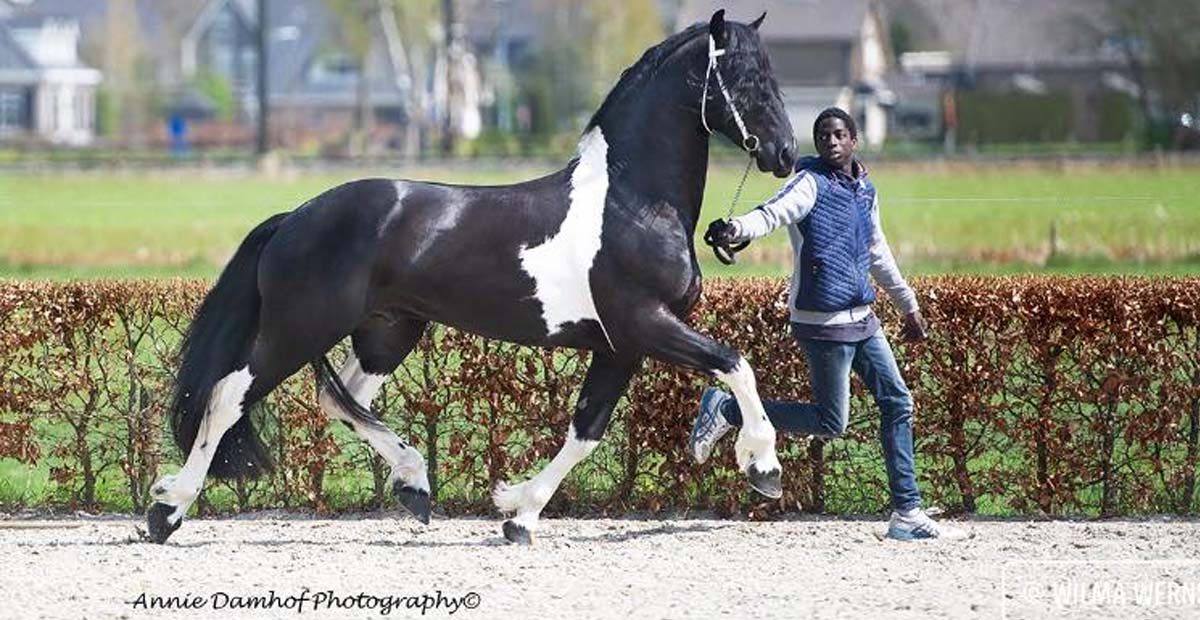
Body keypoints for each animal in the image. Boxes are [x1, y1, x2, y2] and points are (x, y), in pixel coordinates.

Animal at [150, 8, 796, 542]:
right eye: (745, 77)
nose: (785, 153)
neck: (631, 204)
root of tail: (293, 218)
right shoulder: (646, 324)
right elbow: (736, 364)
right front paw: (764, 466)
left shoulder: (622, 347)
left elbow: (586, 430)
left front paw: (518, 513)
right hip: (299, 328)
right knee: (228, 395)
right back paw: (167, 510)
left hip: (388, 332)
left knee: (342, 399)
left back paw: (415, 484)